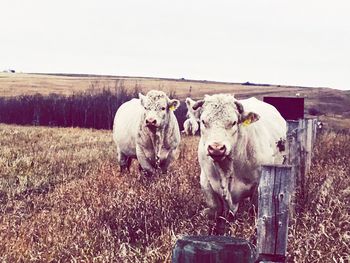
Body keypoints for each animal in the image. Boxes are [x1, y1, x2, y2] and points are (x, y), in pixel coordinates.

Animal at [191, 95, 288, 229]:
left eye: (234, 122)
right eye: (203, 122)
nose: (216, 148)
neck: (226, 169)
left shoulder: (259, 186)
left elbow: (253, 210)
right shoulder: (205, 181)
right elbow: (215, 208)